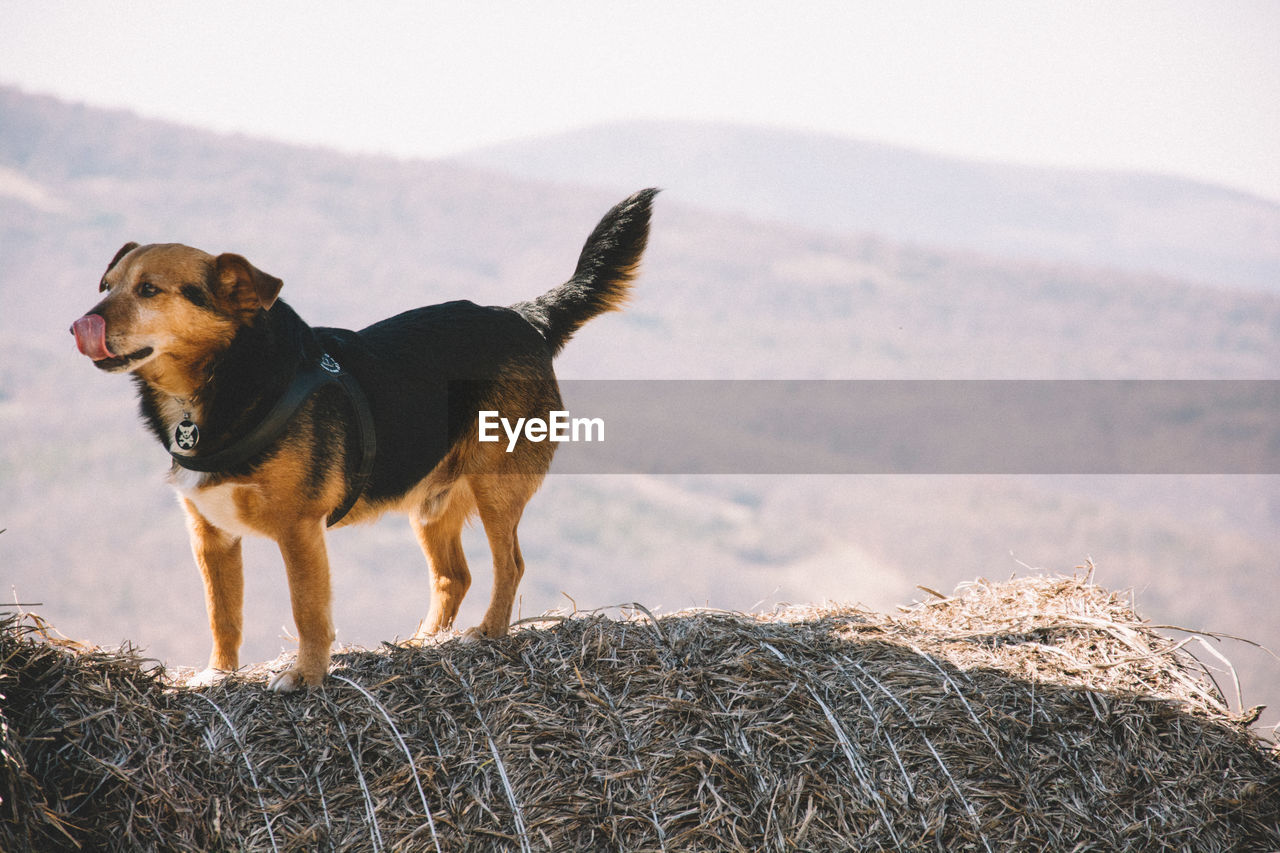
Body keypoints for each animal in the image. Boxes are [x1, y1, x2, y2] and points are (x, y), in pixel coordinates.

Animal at [68, 189, 655, 686]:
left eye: (148, 290)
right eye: (106, 286)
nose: (79, 325)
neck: (221, 381)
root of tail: (523, 317)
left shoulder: (299, 530)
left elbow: (307, 611)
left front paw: (305, 678)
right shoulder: (211, 537)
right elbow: (223, 614)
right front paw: (219, 675)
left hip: (496, 486)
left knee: (508, 564)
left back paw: (487, 634)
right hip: (430, 503)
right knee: (454, 576)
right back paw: (422, 642)